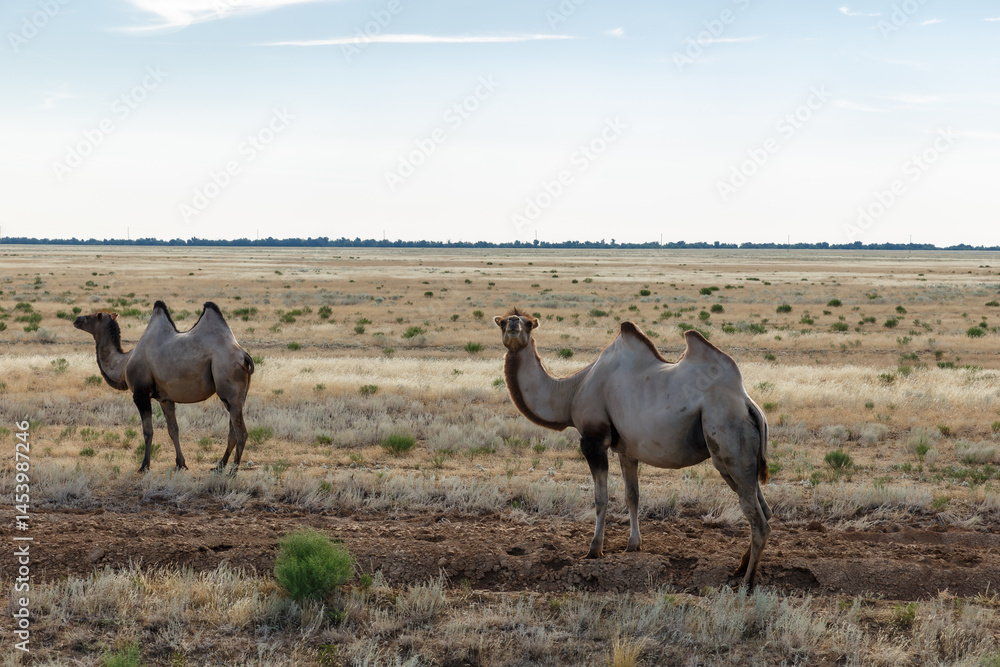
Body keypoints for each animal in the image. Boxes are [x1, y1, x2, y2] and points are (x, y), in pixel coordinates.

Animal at [74, 301, 254, 473]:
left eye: (94, 315)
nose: (77, 319)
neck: (124, 363)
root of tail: (243, 355)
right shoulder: (165, 399)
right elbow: (173, 429)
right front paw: (180, 464)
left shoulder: (140, 394)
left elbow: (148, 431)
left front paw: (144, 466)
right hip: (236, 397)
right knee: (233, 430)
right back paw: (219, 466)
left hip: (229, 387)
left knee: (241, 432)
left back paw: (233, 471)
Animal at [495, 308, 771, 587]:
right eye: (502, 321)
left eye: (530, 323)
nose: (514, 324)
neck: (572, 391)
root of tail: (748, 405)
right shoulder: (626, 450)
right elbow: (632, 496)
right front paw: (633, 545)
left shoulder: (594, 439)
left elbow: (601, 497)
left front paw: (594, 550)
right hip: (740, 459)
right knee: (764, 510)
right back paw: (740, 568)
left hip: (728, 443)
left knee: (757, 518)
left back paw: (747, 582)